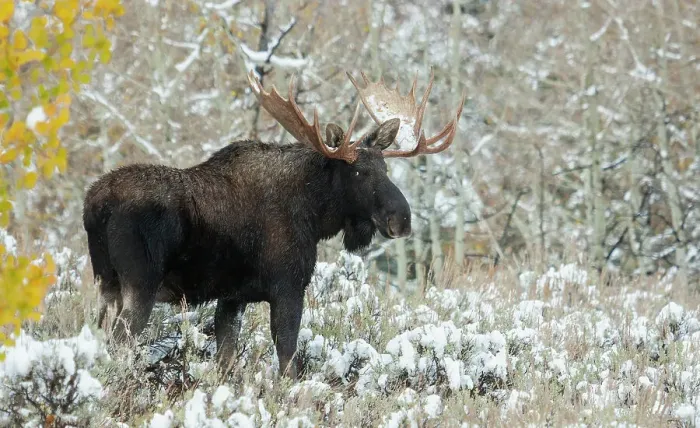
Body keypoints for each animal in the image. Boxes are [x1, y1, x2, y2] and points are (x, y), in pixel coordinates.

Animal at [82, 69, 465, 378]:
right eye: (358, 171)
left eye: (385, 168)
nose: (402, 219)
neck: (314, 215)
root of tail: (94, 205)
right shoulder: (288, 286)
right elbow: (288, 362)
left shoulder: (232, 298)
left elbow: (225, 362)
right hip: (140, 284)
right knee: (118, 345)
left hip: (106, 283)